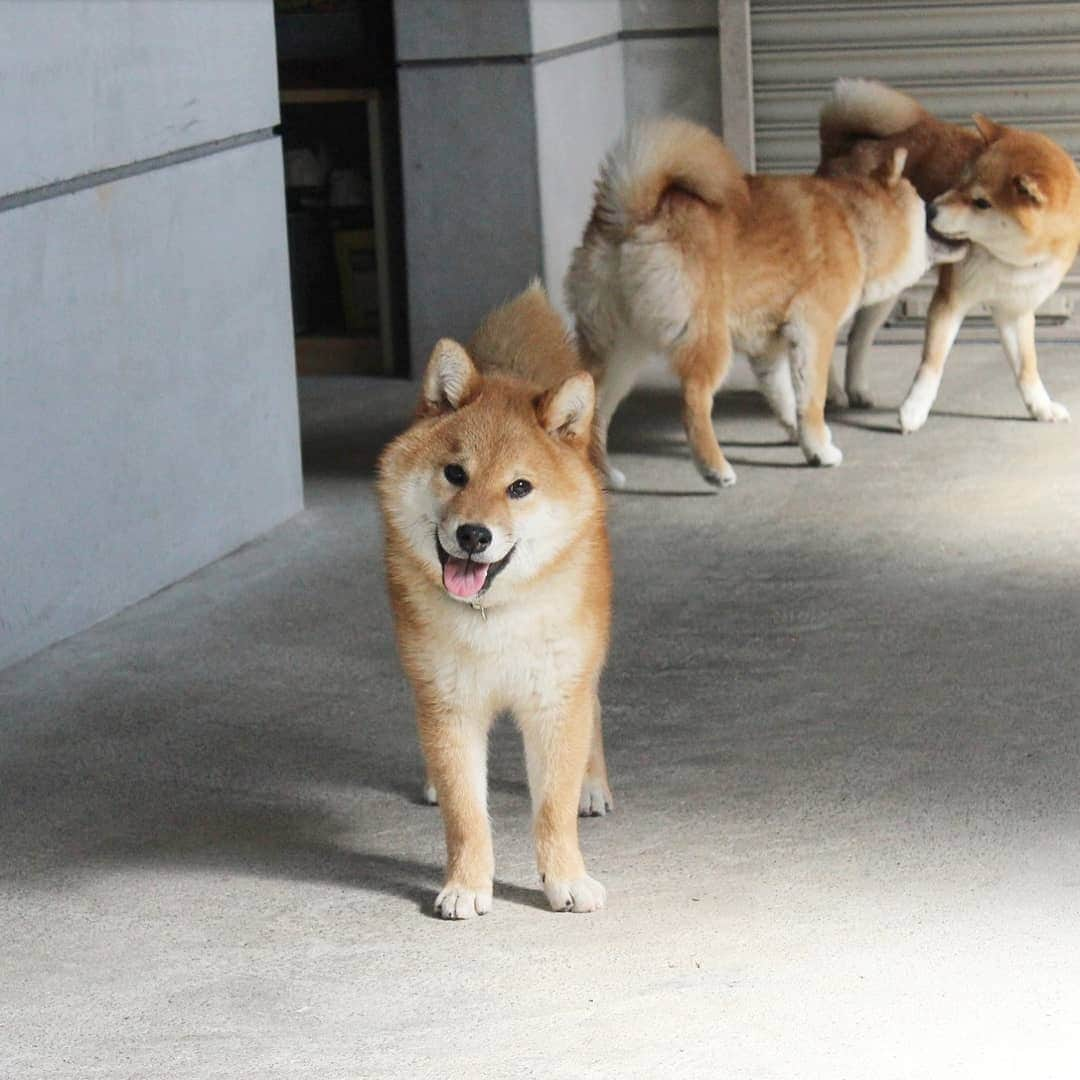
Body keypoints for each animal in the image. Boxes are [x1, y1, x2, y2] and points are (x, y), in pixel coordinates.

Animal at [378, 282, 617, 915]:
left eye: (520, 487)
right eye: (455, 473)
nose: (473, 535)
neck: (494, 617)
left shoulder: (556, 699)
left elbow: (553, 808)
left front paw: (566, 879)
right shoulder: (448, 705)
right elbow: (467, 813)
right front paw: (466, 884)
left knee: (594, 710)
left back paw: (593, 784)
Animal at [816, 77, 1080, 429]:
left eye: (981, 202)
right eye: (961, 181)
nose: (928, 209)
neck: (1005, 259)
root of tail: (841, 148)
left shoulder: (1016, 309)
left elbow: (1027, 368)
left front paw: (1042, 407)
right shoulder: (950, 300)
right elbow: (932, 361)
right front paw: (914, 409)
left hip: (887, 286)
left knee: (859, 337)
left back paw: (857, 390)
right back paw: (831, 392)